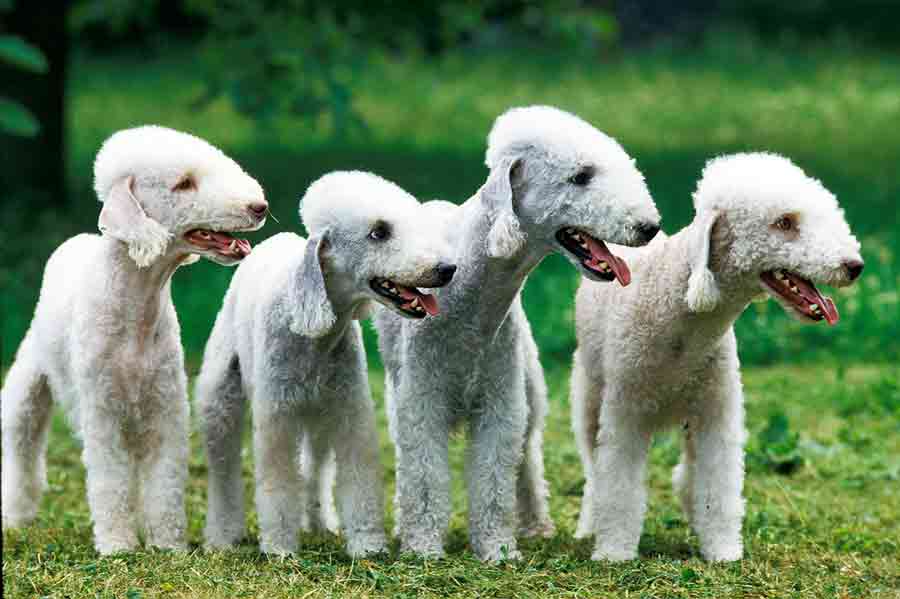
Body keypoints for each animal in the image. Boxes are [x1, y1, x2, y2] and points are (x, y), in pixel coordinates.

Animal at [1, 125, 266, 552]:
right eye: (184, 183)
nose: (259, 206)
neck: (136, 307)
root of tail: (71, 243)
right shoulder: (103, 413)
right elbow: (110, 482)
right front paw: (117, 546)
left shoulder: (165, 409)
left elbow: (165, 482)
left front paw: (168, 546)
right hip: (29, 380)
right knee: (22, 444)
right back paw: (15, 517)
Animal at [200, 170, 460, 556]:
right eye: (378, 232)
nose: (446, 269)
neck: (314, 333)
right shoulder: (277, 418)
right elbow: (278, 482)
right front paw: (280, 547)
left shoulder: (349, 411)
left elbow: (358, 477)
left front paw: (367, 545)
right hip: (221, 396)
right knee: (223, 470)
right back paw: (221, 536)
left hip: (320, 414)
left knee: (316, 466)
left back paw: (319, 523)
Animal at [372, 106, 660, 564]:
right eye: (580, 176)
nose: (650, 226)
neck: (470, 293)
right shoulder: (422, 402)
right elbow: (425, 478)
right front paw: (423, 548)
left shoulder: (500, 402)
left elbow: (494, 477)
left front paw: (498, 550)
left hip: (527, 382)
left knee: (526, 458)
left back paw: (536, 526)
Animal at [568, 154, 864, 564]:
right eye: (784, 222)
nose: (854, 265)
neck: (680, 312)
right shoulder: (625, 411)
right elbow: (619, 486)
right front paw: (613, 553)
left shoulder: (716, 411)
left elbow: (718, 484)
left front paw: (723, 550)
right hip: (588, 392)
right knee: (594, 471)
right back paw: (588, 528)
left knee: (686, 472)